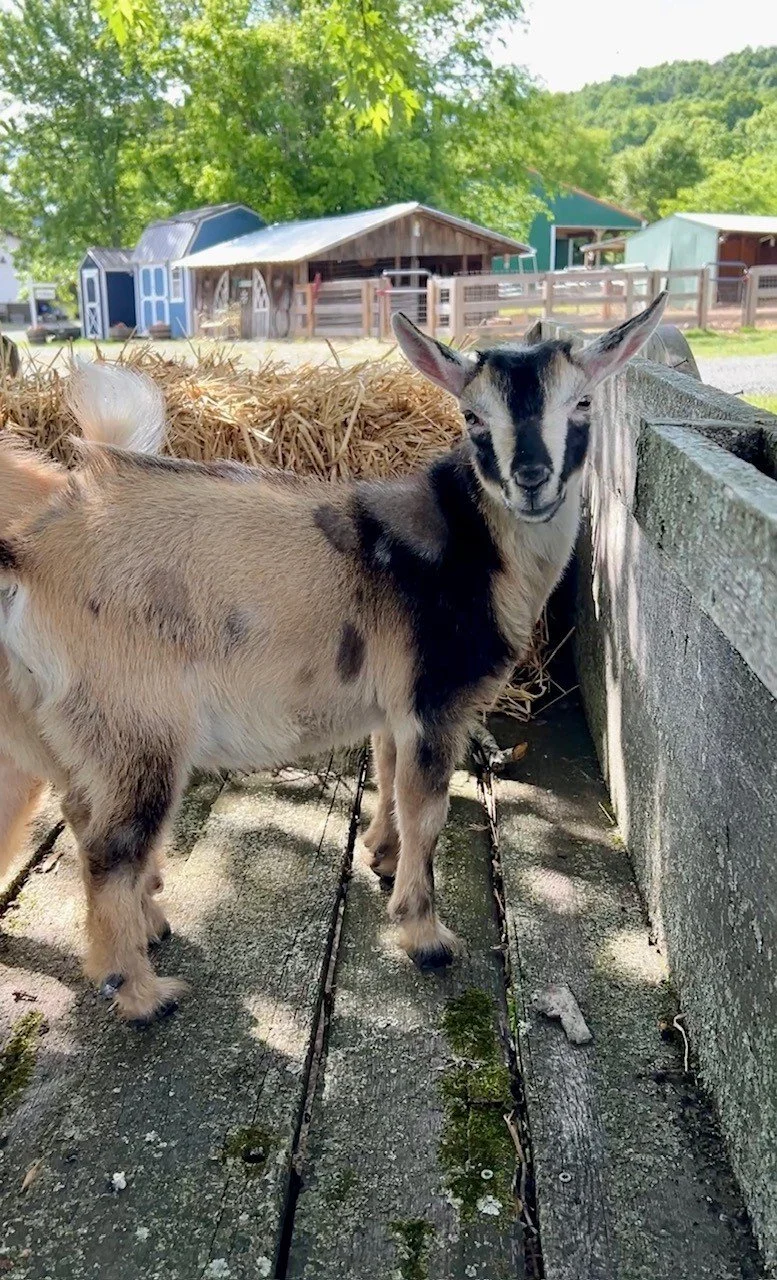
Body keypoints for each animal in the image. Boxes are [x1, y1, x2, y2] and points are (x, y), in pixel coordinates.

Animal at [0, 295, 667, 1023]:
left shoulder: (396, 703)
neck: (477, 549)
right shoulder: (436, 699)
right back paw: (144, 994)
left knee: (83, 816)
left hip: (76, 731)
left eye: (582, 403)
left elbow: (388, 772)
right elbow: (428, 809)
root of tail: (32, 555)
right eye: (471, 417)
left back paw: (148, 929)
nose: (532, 480)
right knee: (108, 850)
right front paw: (425, 935)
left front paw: (380, 854)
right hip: (138, 724)